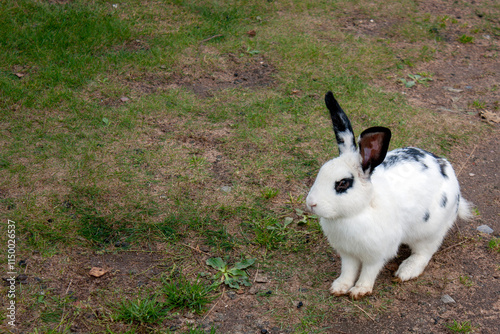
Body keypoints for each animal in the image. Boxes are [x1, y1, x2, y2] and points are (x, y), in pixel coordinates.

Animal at [304, 90, 472, 300]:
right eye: (321, 172)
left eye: (343, 183)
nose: (311, 203)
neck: (357, 212)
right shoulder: (348, 254)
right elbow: (348, 271)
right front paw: (339, 287)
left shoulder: (376, 254)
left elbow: (369, 271)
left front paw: (359, 291)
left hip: (430, 231)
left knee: (424, 253)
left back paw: (406, 271)